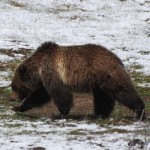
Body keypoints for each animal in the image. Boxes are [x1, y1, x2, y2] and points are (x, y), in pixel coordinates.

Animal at [10, 41, 145, 120]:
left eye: (14, 87)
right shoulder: (46, 80)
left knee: (123, 90)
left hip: (108, 75)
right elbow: (40, 96)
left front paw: (61, 113)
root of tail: (117, 58)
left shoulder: (53, 74)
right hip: (99, 83)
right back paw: (99, 114)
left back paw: (139, 111)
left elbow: (60, 95)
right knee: (103, 98)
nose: (12, 98)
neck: (39, 69)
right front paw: (18, 108)